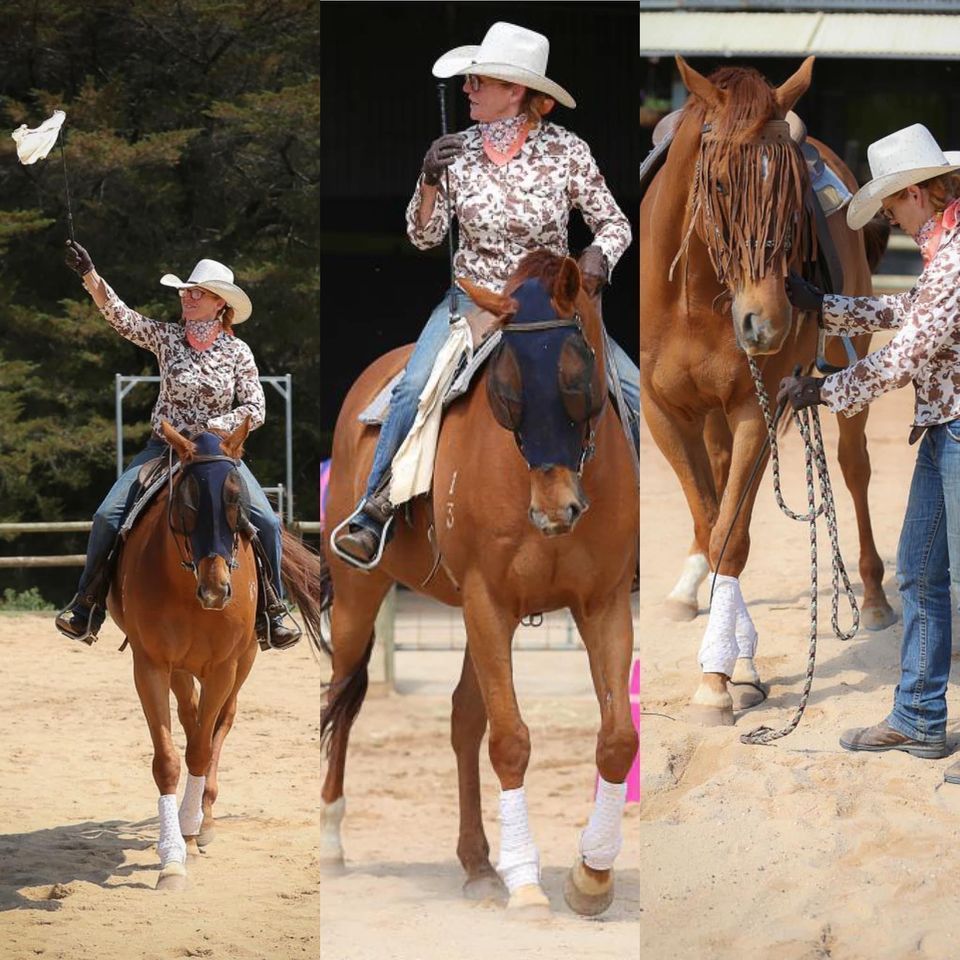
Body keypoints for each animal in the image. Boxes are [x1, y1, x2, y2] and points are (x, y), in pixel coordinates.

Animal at [109, 418, 324, 890]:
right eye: (186, 504)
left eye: (236, 503)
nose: (216, 590)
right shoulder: (150, 665)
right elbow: (169, 760)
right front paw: (172, 857)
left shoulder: (225, 667)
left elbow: (202, 750)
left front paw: (190, 831)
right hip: (181, 670)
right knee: (191, 720)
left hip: (241, 665)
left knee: (217, 728)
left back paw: (202, 822)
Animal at [320, 251, 638, 917]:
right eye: (506, 392)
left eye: (577, 380)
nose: (556, 511)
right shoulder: (488, 603)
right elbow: (511, 739)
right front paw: (527, 883)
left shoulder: (602, 604)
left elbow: (617, 738)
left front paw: (591, 876)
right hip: (362, 595)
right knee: (339, 698)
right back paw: (332, 842)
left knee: (463, 719)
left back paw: (477, 864)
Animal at [639, 55, 895, 726]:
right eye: (719, 184)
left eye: (792, 197)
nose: (768, 322)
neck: (697, 296)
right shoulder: (664, 412)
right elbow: (711, 519)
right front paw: (727, 655)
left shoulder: (758, 408)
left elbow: (732, 534)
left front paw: (725, 675)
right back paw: (687, 591)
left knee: (854, 468)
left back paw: (876, 597)